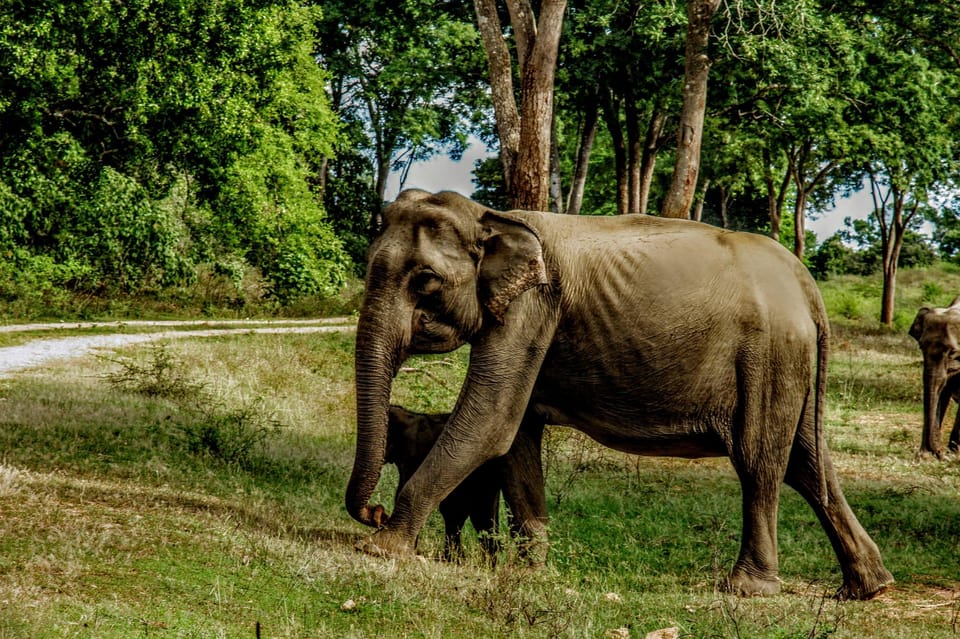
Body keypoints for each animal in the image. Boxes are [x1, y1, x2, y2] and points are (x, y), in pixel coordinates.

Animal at [344, 189, 892, 600]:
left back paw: (747, 589)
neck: (491, 217)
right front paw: (530, 572)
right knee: (807, 462)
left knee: (759, 460)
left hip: (770, 356)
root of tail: (806, 283)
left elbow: (490, 422)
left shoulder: (531, 310)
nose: (374, 513)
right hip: (789, 362)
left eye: (426, 281)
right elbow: (515, 436)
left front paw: (381, 550)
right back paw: (868, 588)